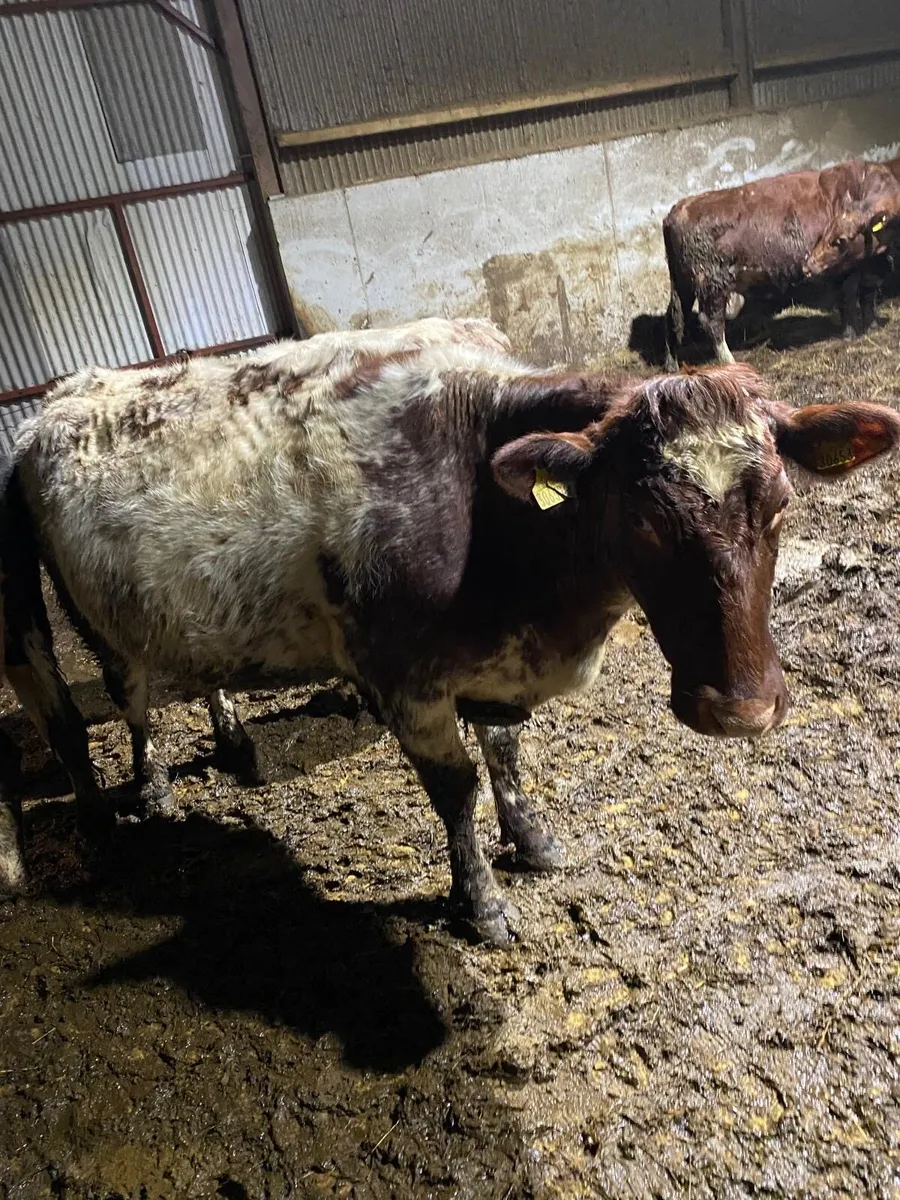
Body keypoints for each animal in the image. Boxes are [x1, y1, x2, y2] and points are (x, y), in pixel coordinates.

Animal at [1, 337, 898, 944]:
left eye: (781, 504)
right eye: (641, 522)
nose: (741, 710)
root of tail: (59, 400)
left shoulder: (495, 669)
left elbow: (504, 754)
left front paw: (532, 841)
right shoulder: (407, 682)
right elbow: (457, 789)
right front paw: (482, 901)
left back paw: (230, 741)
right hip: (93, 617)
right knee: (129, 697)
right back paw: (142, 791)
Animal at [663, 159, 900, 368]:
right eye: (837, 238)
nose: (808, 265)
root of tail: (680, 208)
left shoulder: (871, 266)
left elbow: (868, 294)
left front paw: (872, 325)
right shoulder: (849, 268)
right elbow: (849, 297)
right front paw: (850, 333)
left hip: (683, 283)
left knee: (675, 317)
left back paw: (671, 364)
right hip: (712, 283)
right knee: (710, 322)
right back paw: (729, 360)